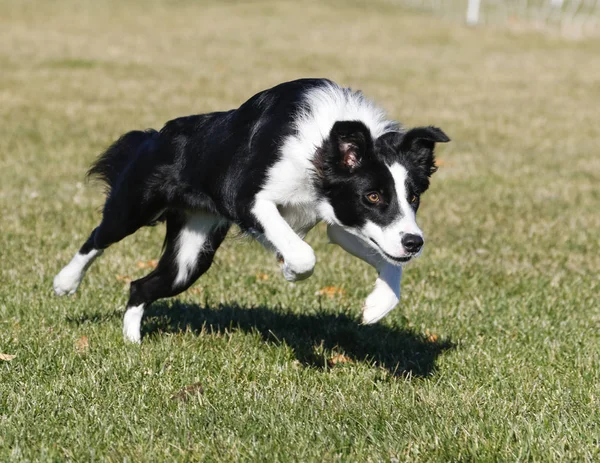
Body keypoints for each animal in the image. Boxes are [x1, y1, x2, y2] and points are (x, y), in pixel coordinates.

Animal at [54, 78, 450, 342]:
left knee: (140, 286)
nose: (415, 243)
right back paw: (65, 282)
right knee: (98, 238)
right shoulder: (250, 200)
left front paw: (376, 307)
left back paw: (133, 342)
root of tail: (156, 134)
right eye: (373, 196)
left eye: (414, 197)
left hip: (191, 256)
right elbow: (304, 253)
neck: (321, 146)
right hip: (134, 206)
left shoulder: (341, 220)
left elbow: (388, 260)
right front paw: (289, 269)